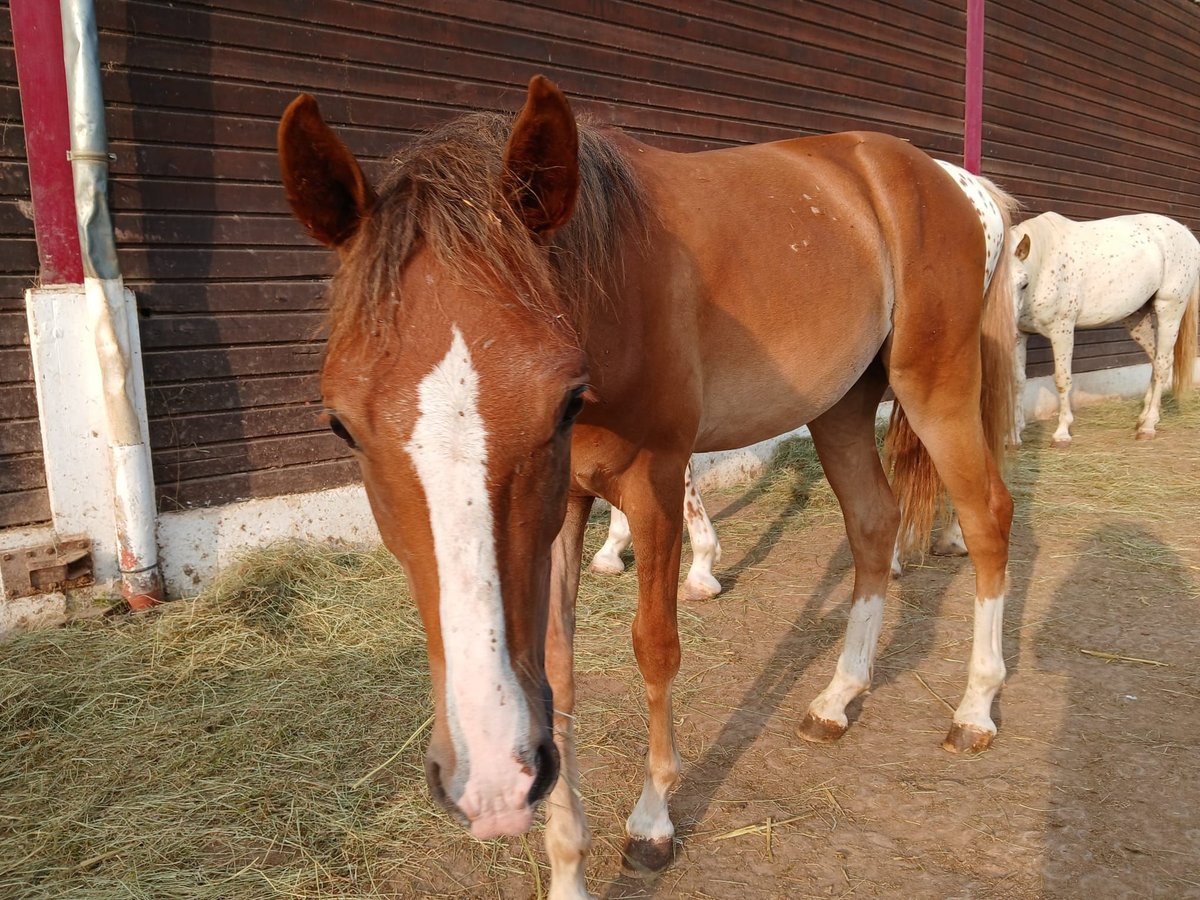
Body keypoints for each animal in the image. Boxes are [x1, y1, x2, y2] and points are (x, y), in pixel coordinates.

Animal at [1012, 214, 1200, 448]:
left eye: (1023, 283)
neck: (1042, 264)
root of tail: (1186, 233)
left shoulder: (1061, 330)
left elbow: (1062, 379)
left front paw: (1062, 433)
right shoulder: (1020, 335)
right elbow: (1019, 380)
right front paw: (1015, 435)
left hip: (1170, 309)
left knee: (1163, 364)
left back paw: (1148, 426)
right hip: (1138, 319)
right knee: (1156, 360)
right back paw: (1143, 418)